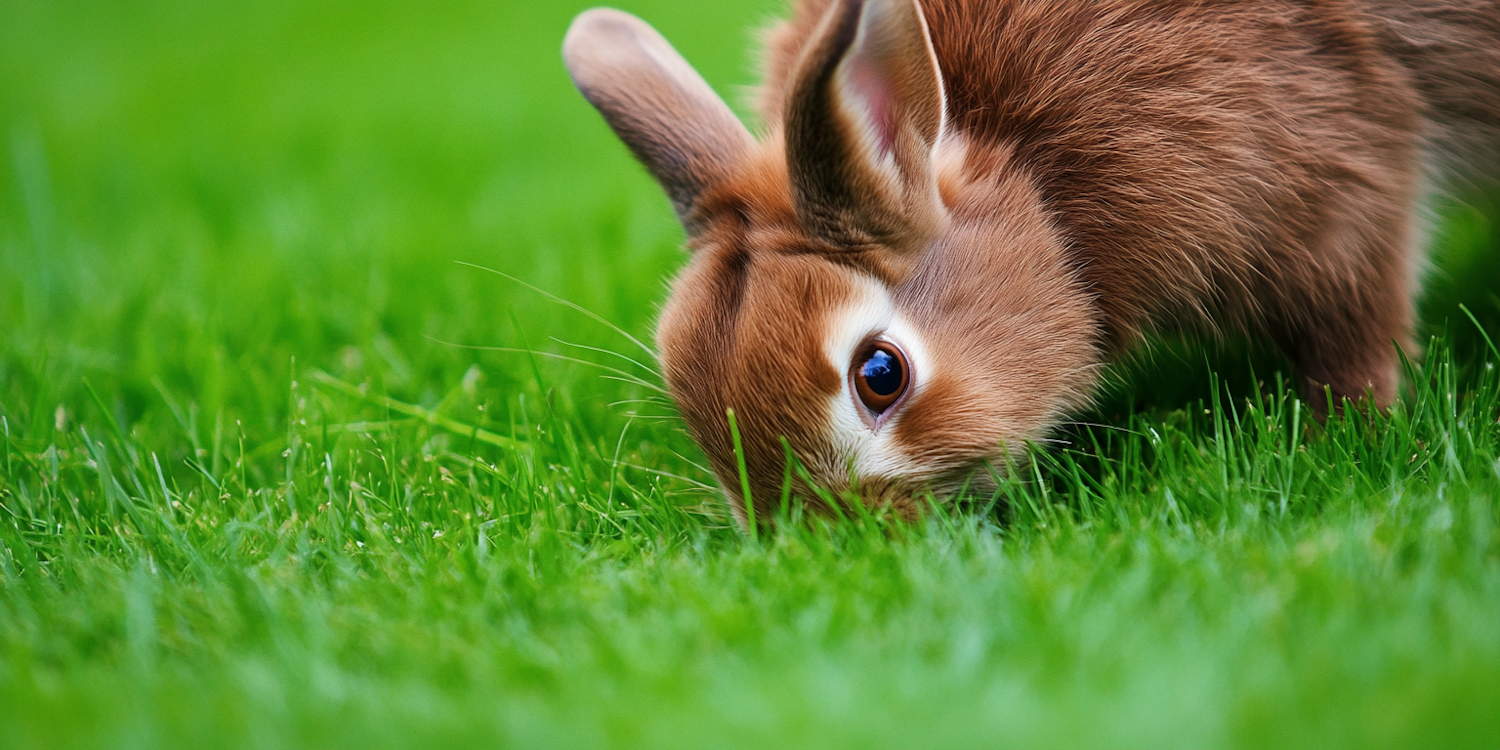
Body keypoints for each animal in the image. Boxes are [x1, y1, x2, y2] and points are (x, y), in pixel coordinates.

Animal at [564, 0, 1500, 525]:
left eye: (880, 375)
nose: (827, 540)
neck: (1035, 184)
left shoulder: (1341, 175)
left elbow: (1360, 318)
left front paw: (1350, 435)